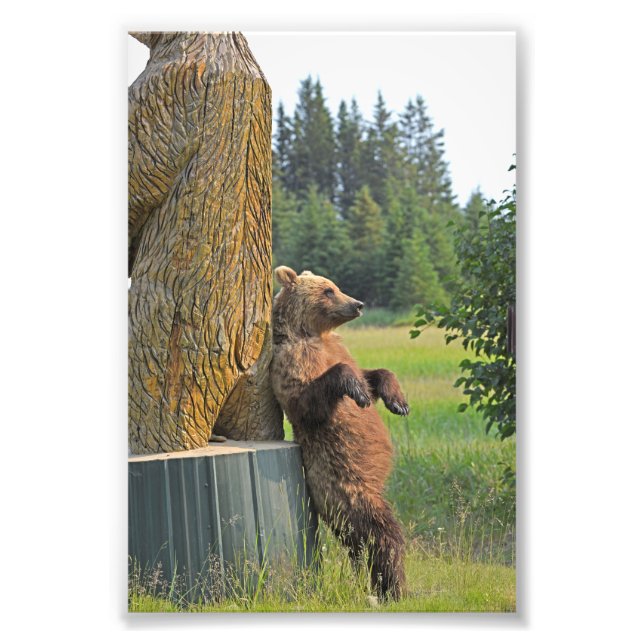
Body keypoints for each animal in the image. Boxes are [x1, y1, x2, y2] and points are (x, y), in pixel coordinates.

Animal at [270, 266, 409, 600]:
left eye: (334, 285)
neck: (313, 334)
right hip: (350, 493)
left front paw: (397, 401)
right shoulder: (293, 367)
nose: (358, 304)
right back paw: (393, 588)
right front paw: (357, 392)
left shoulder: (339, 351)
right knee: (382, 535)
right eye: (328, 290)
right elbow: (311, 400)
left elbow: (373, 373)